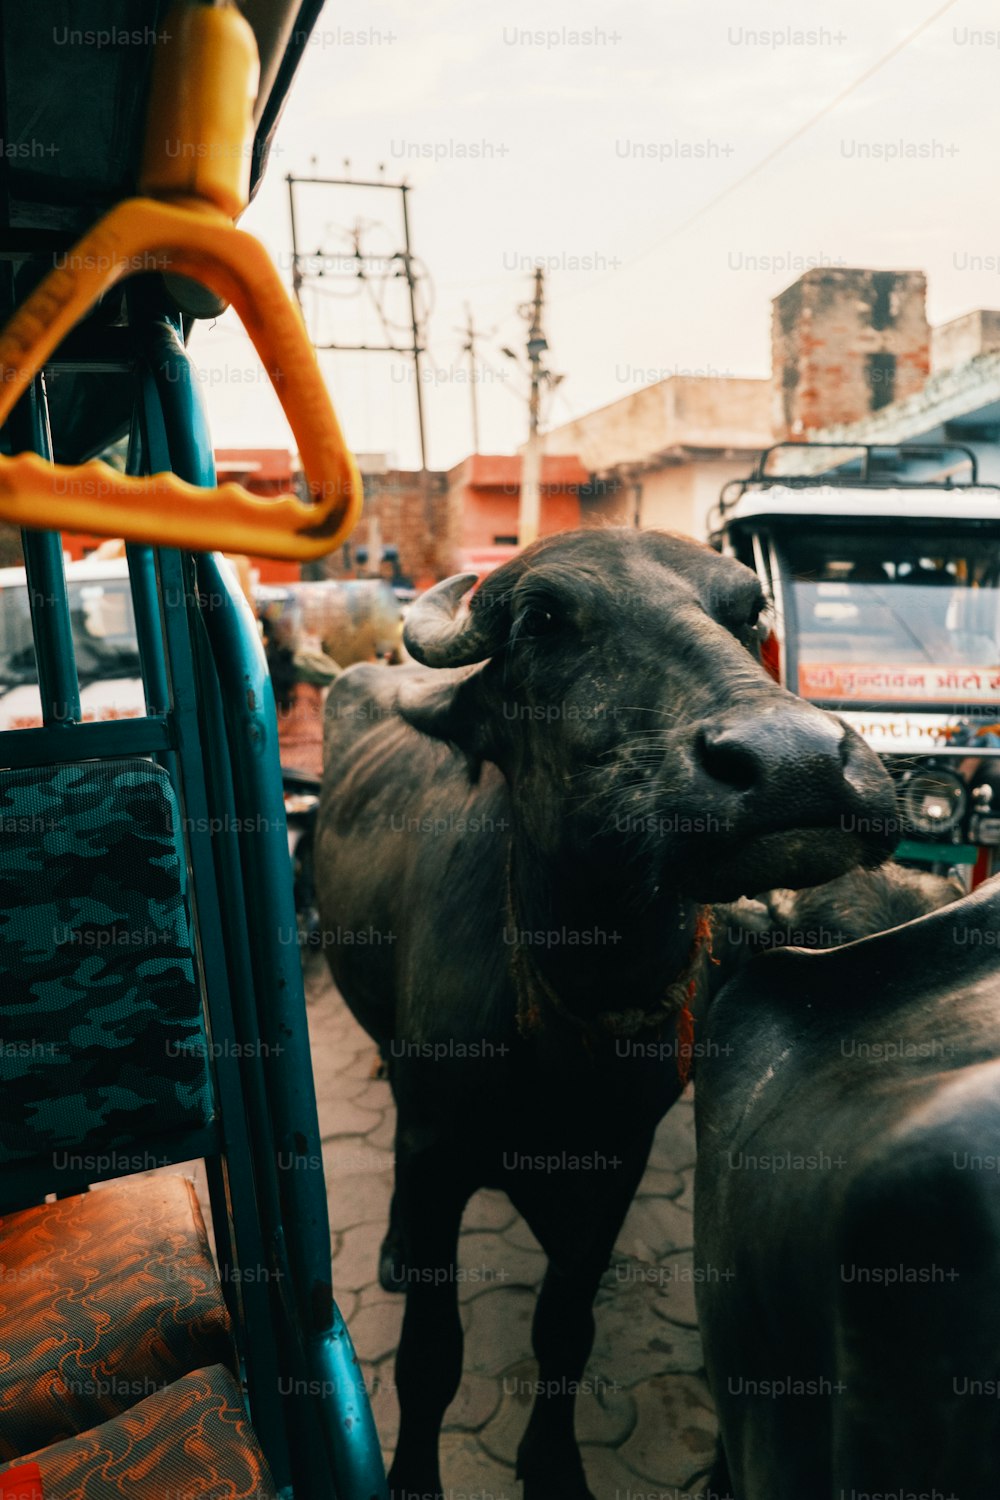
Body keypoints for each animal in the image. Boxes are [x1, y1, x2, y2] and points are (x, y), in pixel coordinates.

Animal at [316, 528, 893, 1500]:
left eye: (749, 612)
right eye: (544, 618)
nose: (798, 762)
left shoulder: (619, 1152)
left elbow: (565, 1327)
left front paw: (552, 1464)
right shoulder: (435, 1149)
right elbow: (430, 1356)